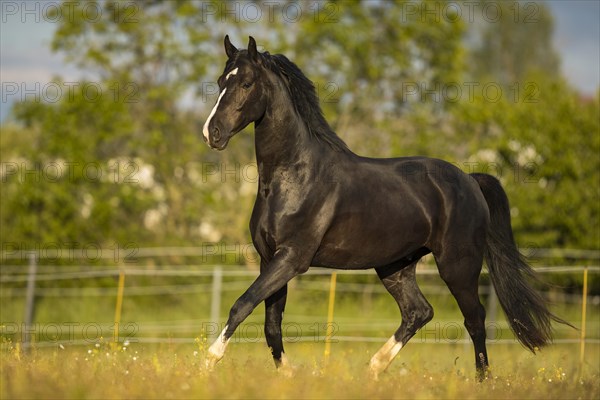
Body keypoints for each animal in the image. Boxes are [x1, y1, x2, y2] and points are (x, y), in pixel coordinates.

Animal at [202, 35, 568, 378]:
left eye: (246, 83)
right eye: (220, 81)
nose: (212, 133)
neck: (293, 176)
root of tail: (468, 179)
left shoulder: (292, 258)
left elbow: (242, 304)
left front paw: (208, 361)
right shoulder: (270, 258)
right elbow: (271, 325)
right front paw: (287, 375)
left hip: (458, 266)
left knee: (474, 318)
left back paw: (481, 380)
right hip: (395, 267)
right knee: (419, 311)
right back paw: (374, 367)